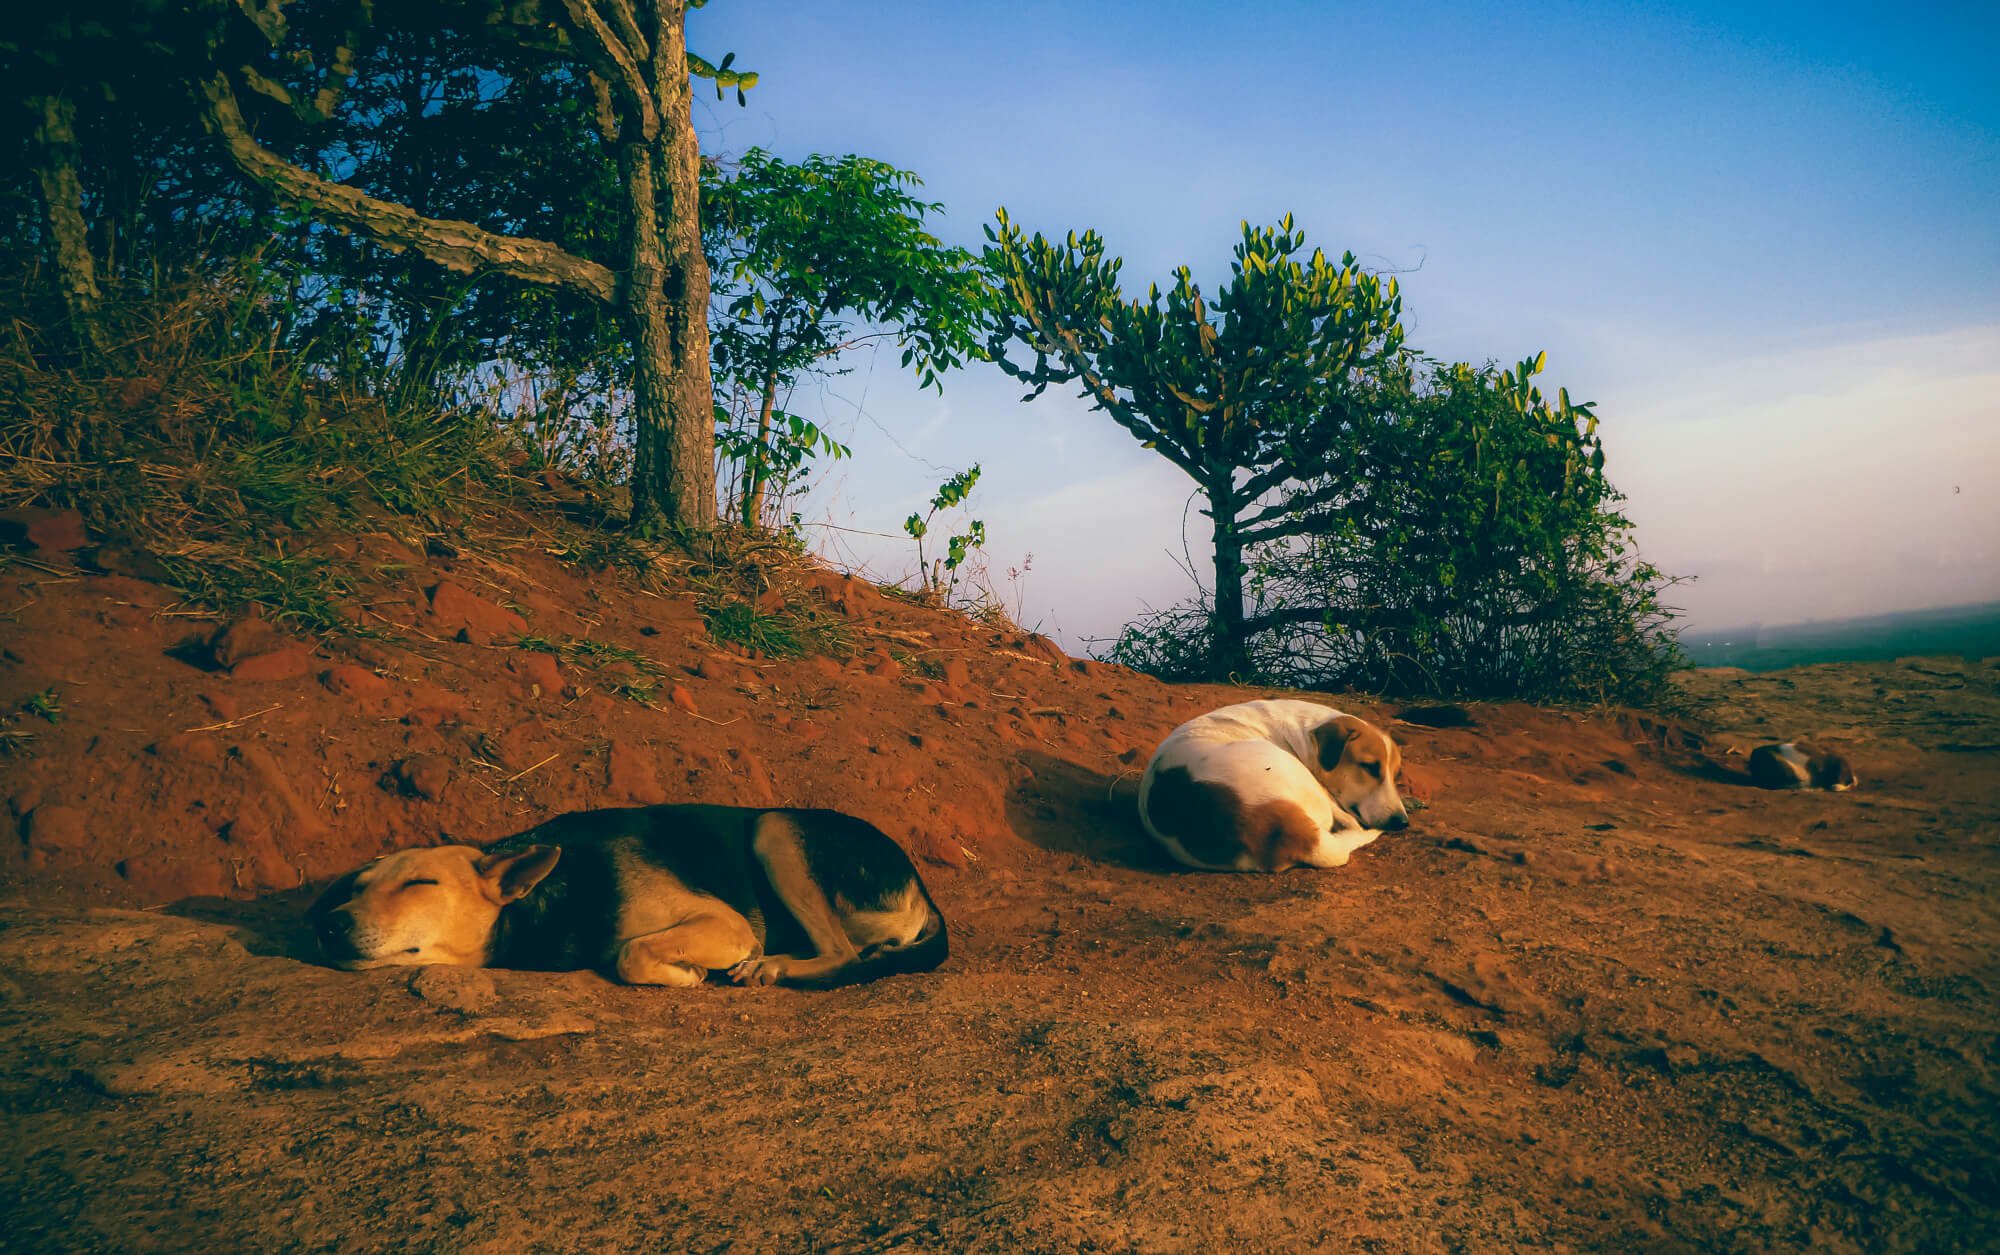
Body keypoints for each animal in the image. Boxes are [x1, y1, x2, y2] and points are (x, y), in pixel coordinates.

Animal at [308, 803, 948, 991]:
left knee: (843, 954)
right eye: (358, 887)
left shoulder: (725, 923)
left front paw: (688, 974)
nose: (328, 926)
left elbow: (630, 953)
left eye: (421, 884)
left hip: (773, 827)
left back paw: (772, 965)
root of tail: (924, 891)